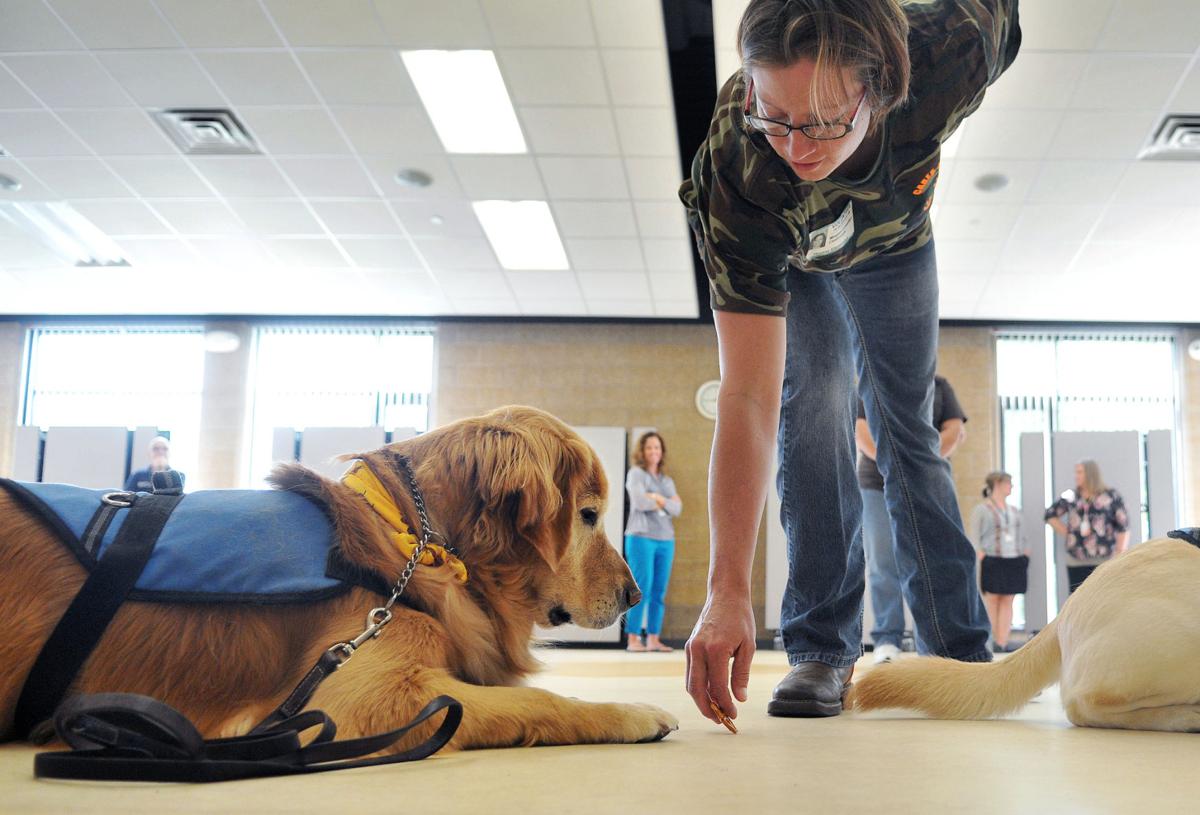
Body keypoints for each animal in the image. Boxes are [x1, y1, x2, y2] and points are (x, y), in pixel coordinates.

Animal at [0, 408, 676, 753]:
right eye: (587, 514)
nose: (637, 595)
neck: (413, 543)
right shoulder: (362, 701)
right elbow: (539, 700)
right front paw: (632, 711)